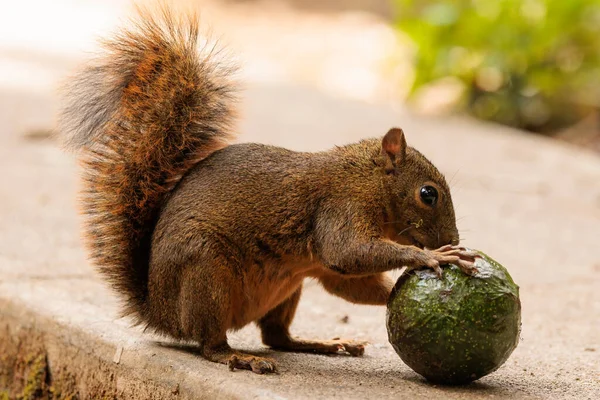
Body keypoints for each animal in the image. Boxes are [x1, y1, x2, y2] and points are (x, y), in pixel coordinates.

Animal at [58, 7, 476, 376]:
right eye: (428, 194)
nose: (453, 239)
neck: (366, 178)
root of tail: (159, 311)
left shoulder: (326, 262)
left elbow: (345, 278)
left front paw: (403, 288)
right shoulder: (340, 206)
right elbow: (347, 252)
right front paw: (431, 256)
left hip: (288, 286)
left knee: (276, 336)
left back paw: (321, 344)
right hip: (205, 273)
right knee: (211, 343)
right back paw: (239, 358)